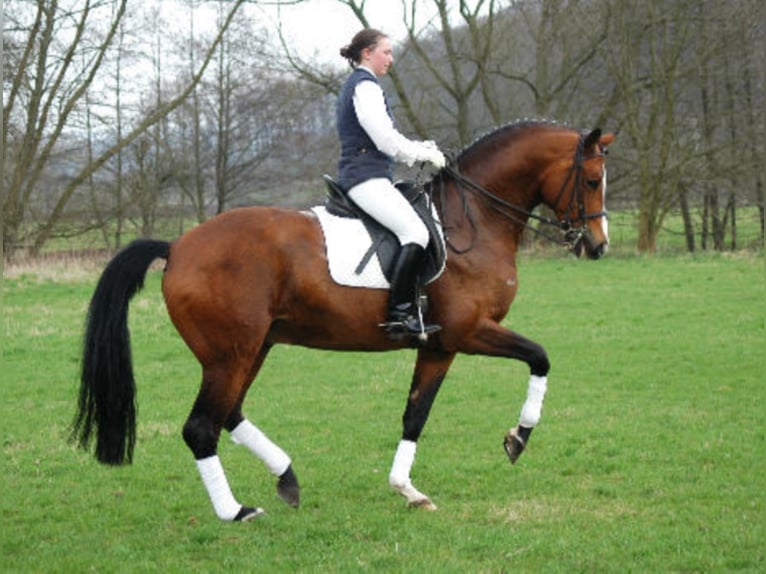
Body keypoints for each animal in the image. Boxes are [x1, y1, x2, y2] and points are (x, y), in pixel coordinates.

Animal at [73, 120, 616, 520]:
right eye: (591, 181)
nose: (597, 246)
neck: (474, 220)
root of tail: (177, 246)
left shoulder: (439, 345)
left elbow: (415, 414)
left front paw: (407, 489)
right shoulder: (469, 331)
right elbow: (540, 358)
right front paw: (518, 438)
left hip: (251, 349)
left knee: (228, 414)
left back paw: (286, 478)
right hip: (230, 355)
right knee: (201, 427)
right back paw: (236, 511)